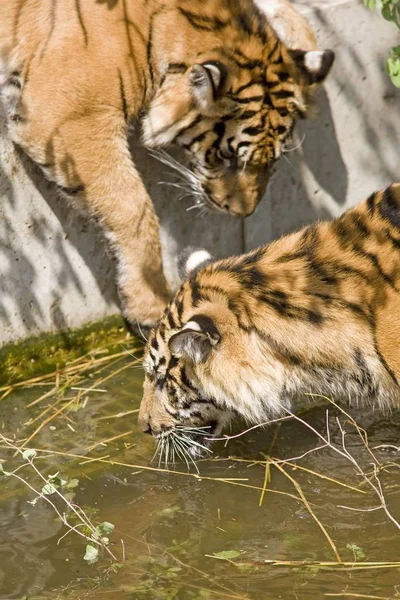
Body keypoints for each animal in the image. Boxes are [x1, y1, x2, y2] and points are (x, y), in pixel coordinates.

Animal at [0, 0, 334, 328]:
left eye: (271, 162)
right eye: (225, 157)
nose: (243, 213)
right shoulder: (71, 115)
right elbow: (132, 207)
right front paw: (150, 302)